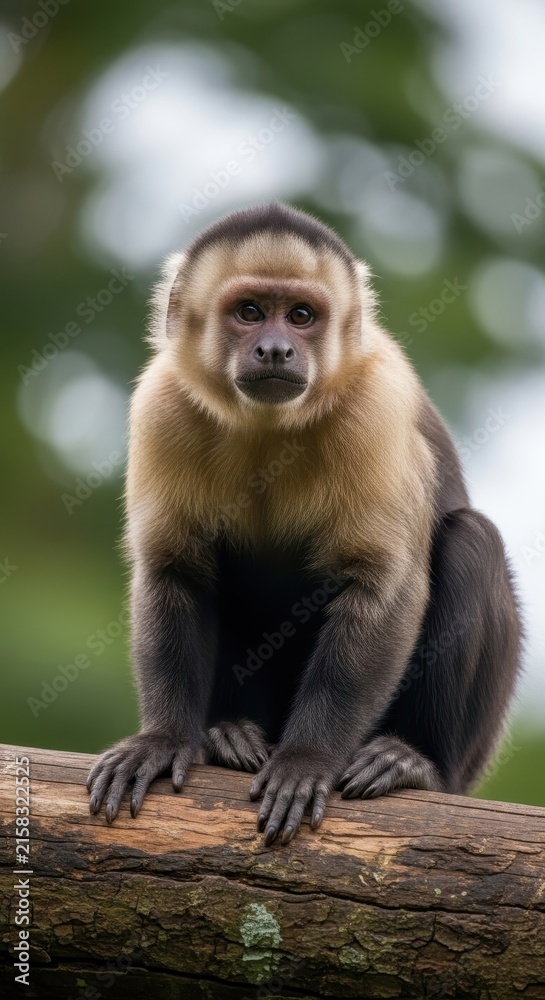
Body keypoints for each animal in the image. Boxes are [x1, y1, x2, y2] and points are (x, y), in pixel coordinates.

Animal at [87, 202, 521, 846]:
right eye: (249, 312)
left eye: (300, 316)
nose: (274, 349)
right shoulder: (161, 404)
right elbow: (175, 571)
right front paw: (163, 739)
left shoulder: (376, 406)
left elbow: (381, 585)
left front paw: (308, 758)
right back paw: (229, 735)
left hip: (471, 763)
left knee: (472, 543)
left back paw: (415, 764)